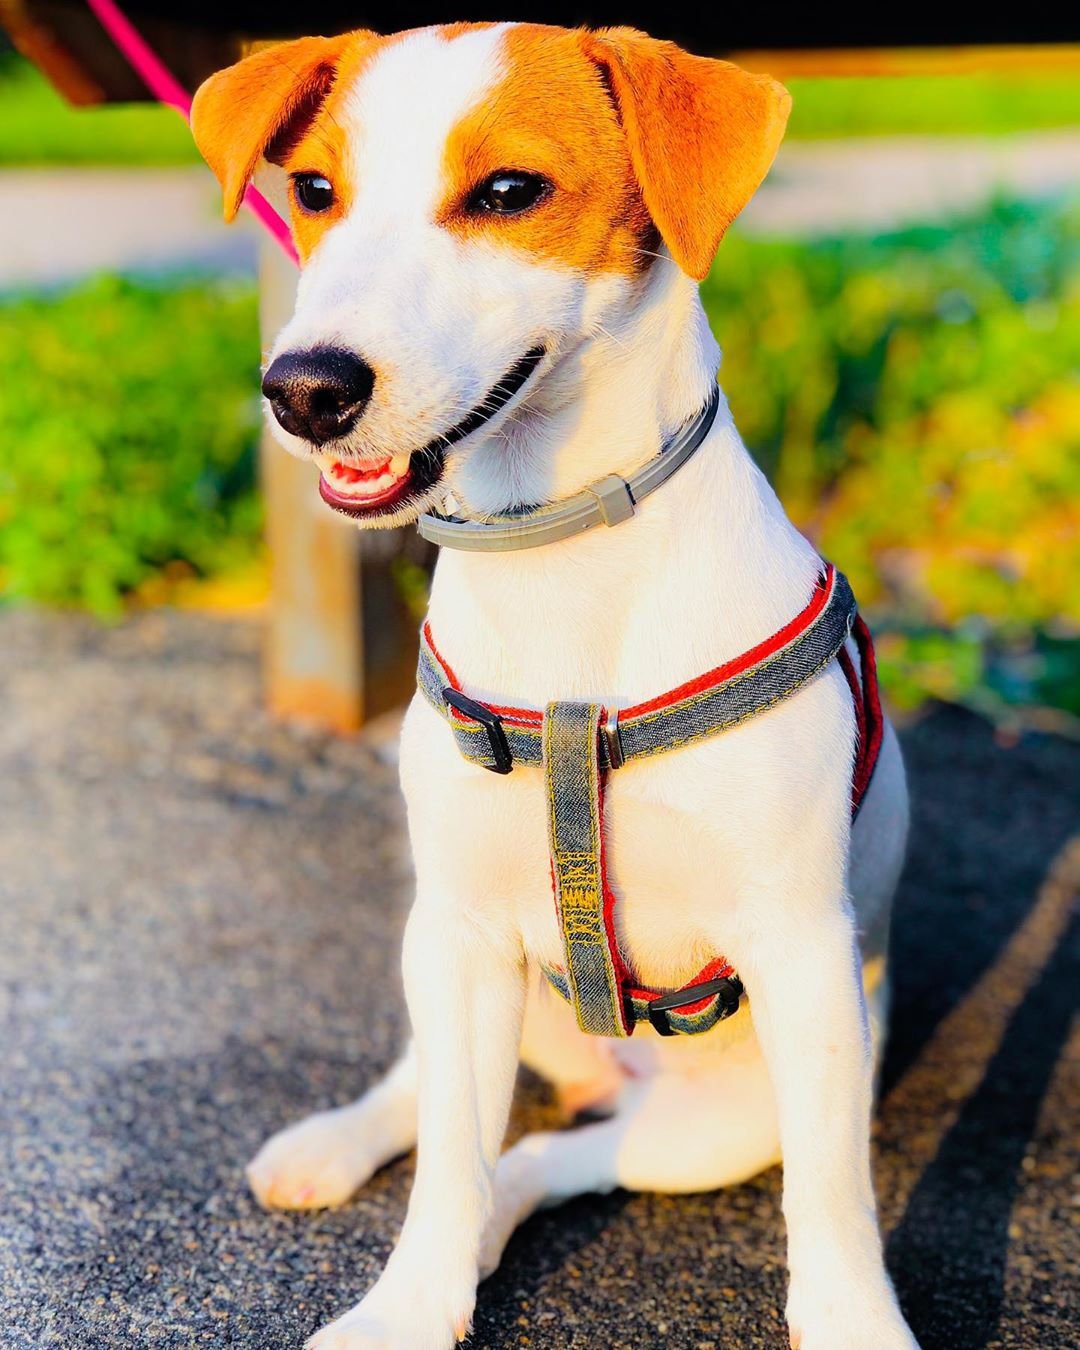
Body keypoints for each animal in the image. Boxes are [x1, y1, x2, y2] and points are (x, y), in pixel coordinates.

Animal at [194, 21, 918, 1350]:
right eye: (314, 191)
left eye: (508, 192)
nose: (306, 389)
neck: (561, 556)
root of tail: (602, 1064)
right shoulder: (468, 933)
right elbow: (443, 1166)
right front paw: (402, 1311)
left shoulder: (803, 957)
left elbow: (835, 1202)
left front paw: (852, 1319)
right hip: (445, 957)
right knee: (432, 1102)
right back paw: (335, 1146)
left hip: (708, 1129)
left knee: (536, 1165)